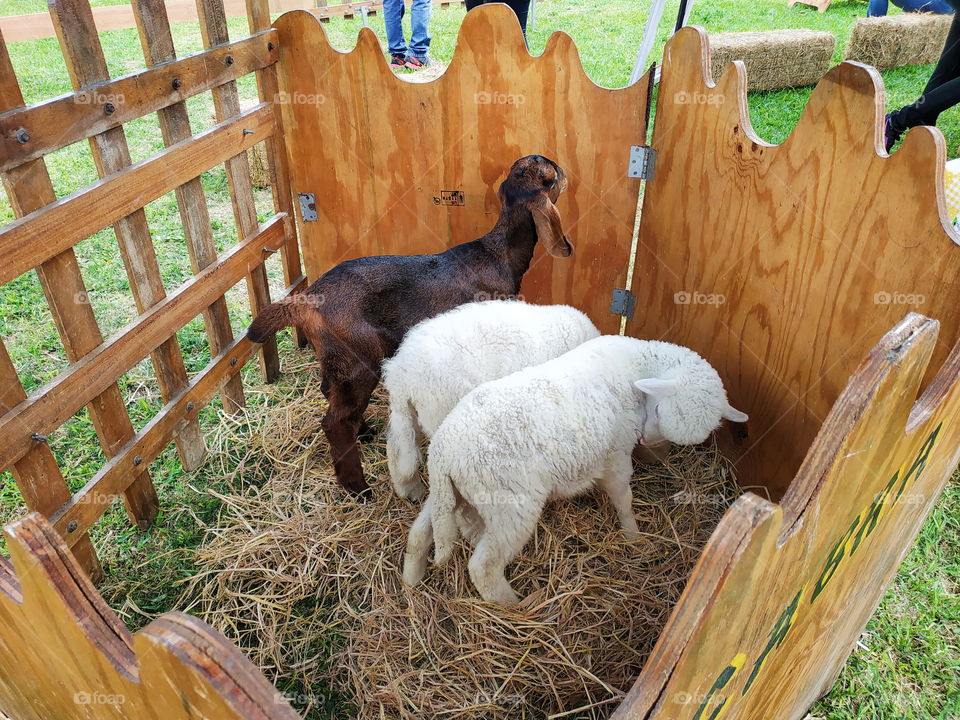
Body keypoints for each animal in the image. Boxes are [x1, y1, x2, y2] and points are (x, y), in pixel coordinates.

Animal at [246, 155, 573, 498]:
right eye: (551, 175)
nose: (565, 171)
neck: (499, 255)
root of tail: (308, 301)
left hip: (337, 358)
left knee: (331, 394)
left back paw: (363, 432)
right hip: (360, 356)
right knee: (336, 421)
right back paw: (358, 487)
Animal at [402, 335, 748, 605]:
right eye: (661, 408)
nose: (647, 439)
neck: (635, 367)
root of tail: (444, 452)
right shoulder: (617, 451)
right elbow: (623, 497)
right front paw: (633, 535)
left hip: (454, 494)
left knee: (424, 530)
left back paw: (411, 577)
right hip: (510, 503)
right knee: (484, 567)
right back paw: (517, 604)